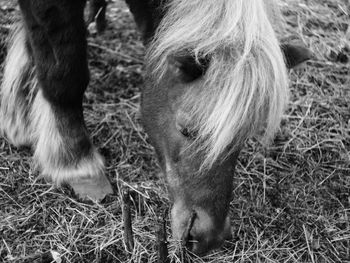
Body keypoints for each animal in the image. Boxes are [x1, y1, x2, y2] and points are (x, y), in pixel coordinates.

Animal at [0, 0, 312, 256]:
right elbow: (63, 72)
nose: (209, 237)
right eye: (186, 129)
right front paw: (75, 161)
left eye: (243, 139)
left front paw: (17, 114)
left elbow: (35, 42)